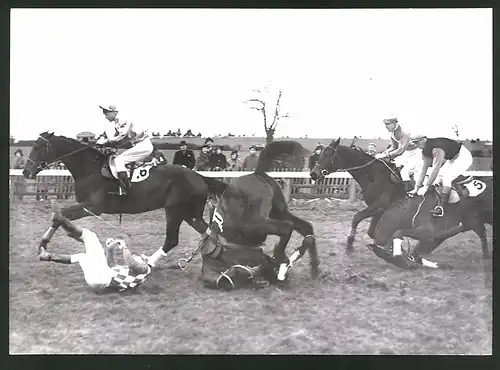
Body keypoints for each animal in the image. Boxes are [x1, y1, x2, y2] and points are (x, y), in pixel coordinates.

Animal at [23, 132, 227, 258]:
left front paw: (45, 243)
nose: (26, 172)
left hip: (177, 211)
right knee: (207, 233)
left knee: (176, 239)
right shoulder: (87, 207)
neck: (90, 169)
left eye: (38, 147)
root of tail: (199, 176)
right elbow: (58, 217)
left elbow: (60, 216)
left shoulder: (92, 207)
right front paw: (46, 243)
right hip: (187, 213)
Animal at [197, 140, 318, 288]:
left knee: (287, 227)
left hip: (256, 224)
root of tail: (257, 173)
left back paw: (282, 258)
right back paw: (314, 267)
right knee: (304, 227)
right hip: (278, 212)